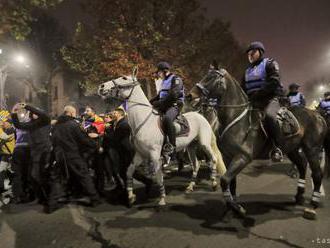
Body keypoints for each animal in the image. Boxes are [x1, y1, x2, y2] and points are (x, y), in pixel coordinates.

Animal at [98, 69, 227, 206]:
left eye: (124, 78)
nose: (101, 87)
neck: (143, 122)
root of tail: (200, 116)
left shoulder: (155, 156)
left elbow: (159, 178)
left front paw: (162, 199)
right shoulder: (139, 154)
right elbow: (129, 171)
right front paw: (131, 196)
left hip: (204, 144)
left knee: (213, 159)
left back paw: (214, 183)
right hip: (191, 147)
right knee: (196, 165)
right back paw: (190, 187)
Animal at [188, 68, 328, 219]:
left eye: (212, 77)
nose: (190, 96)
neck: (236, 119)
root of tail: (318, 115)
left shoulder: (243, 157)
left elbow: (225, 180)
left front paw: (236, 208)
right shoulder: (228, 157)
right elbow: (231, 182)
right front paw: (231, 206)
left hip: (312, 149)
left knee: (317, 174)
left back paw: (312, 206)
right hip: (292, 149)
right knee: (302, 165)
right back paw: (299, 196)